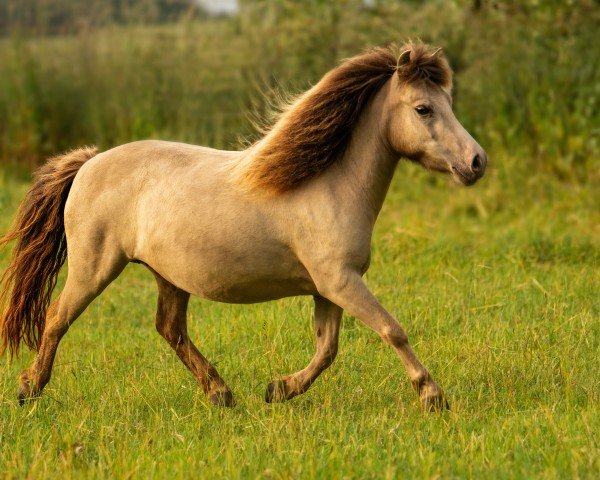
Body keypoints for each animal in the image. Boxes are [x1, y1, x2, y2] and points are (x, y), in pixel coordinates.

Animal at [0, 41, 486, 410]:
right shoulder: (340, 281)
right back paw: (28, 390)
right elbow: (391, 329)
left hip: (168, 275)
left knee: (170, 329)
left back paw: (221, 394)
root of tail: (88, 163)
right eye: (423, 109)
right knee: (57, 319)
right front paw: (433, 396)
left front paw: (278, 389)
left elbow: (327, 348)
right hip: (93, 267)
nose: (477, 162)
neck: (330, 183)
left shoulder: (328, 287)